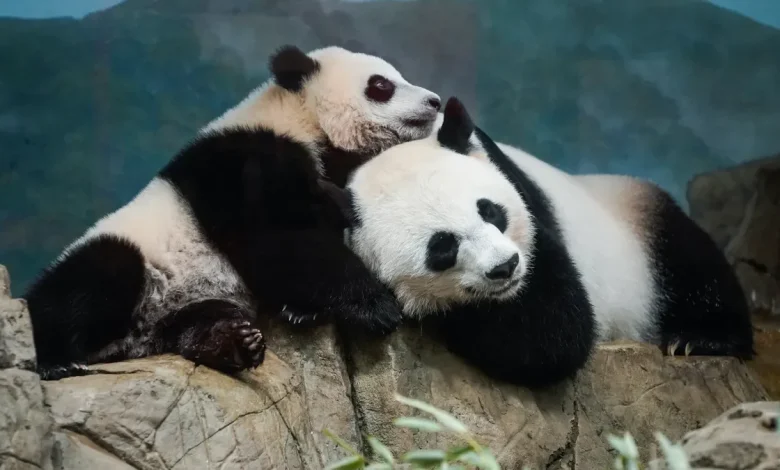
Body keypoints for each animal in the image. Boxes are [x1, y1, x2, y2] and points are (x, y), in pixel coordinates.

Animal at [23, 45, 442, 381]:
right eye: (381, 85)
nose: (435, 101)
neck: (303, 119)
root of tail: (128, 344)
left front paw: (302, 310)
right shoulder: (246, 162)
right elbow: (280, 239)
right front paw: (377, 307)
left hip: (186, 306)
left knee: (199, 321)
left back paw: (234, 343)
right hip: (131, 253)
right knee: (90, 282)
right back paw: (58, 360)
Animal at [338, 97, 754, 388]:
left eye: (491, 211)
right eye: (443, 249)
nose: (505, 268)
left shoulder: (524, 200)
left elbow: (553, 330)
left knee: (694, 267)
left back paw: (700, 339)